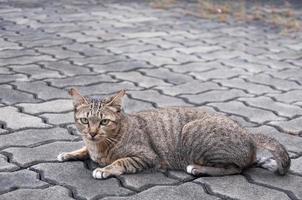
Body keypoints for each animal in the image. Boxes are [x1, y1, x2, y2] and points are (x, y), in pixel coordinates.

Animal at [56, 88, 290, 179]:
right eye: (85, 121)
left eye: (104, 121)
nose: (92, 133)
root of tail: (249, 134)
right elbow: (83, 149)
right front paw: (70, 153)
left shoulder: (146, 157)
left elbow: (121, 161)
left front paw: (105, 169)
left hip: (192, 132)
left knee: (235, 169)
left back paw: (198, 168)